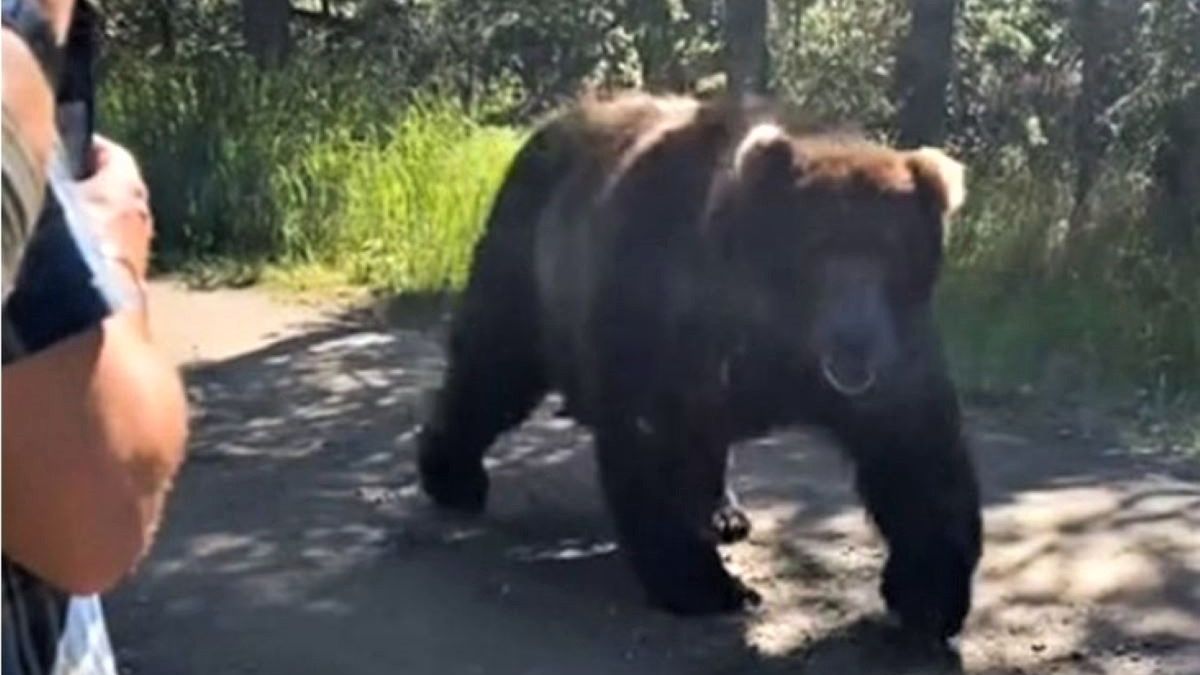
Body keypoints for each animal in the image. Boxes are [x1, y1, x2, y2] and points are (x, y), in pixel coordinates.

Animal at [416, 91, 982, 641]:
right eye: (820, 248)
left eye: (890, 251)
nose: (855, 336)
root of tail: (552, 122)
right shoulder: (661, 301)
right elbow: (651, 436)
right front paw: (709, 586)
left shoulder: (893, 352)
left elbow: (915, 450)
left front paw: (929, 594)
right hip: (528, 257)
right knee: (494, 364)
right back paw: (453, 474)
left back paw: (725, 513)